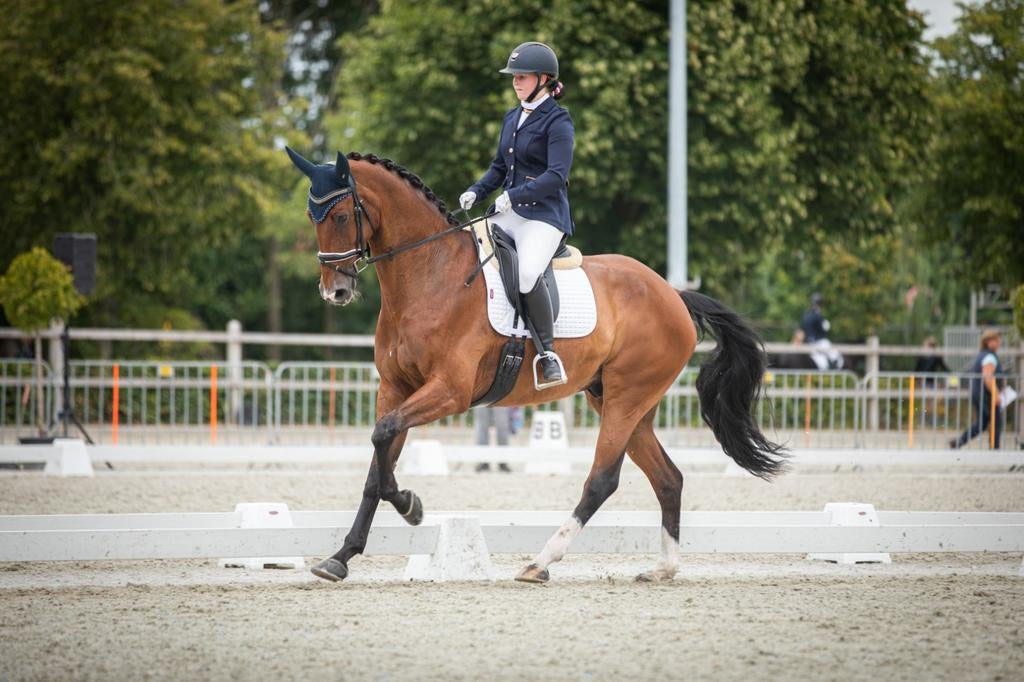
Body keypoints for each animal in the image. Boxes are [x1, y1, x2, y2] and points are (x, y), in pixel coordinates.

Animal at [286, 148, 786, 583]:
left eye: (342, 216)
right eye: (312, 218)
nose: (334, 291)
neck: (430, 275)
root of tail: (673, 294)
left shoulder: (450, 390)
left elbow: (382, 439)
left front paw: (411, 505)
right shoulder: (395, 388)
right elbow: (378, 459)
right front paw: (341, 556)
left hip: (628, 398)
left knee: (602, 481)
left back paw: (540, 562)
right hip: (620, 402)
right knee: (668, 478)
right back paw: (662, 569)